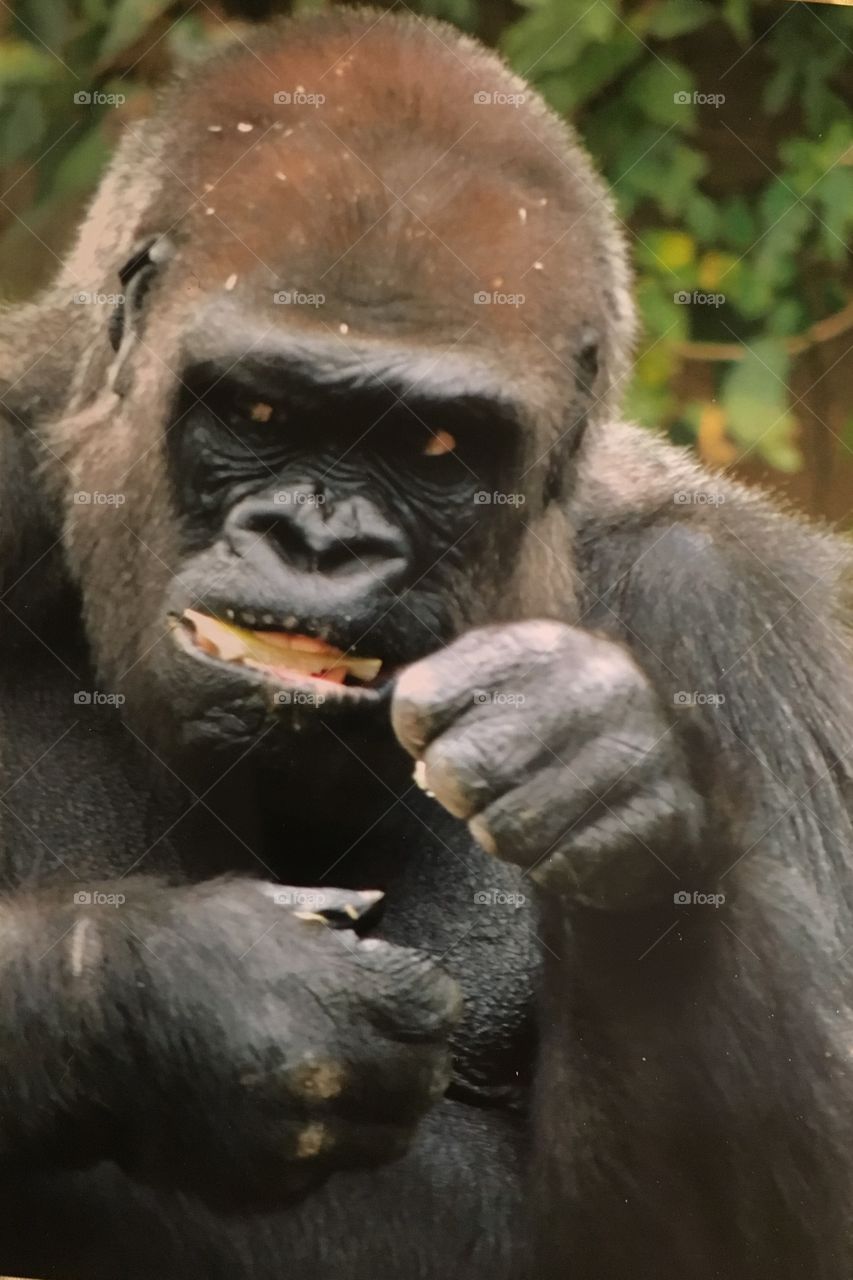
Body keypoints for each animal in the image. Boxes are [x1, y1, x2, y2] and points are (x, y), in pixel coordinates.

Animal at [1, 10, 850, 1280]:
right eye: (257, 411)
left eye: (437, 446)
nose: (320, 541)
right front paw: (172, 993)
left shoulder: (744, 614)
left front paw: (622, 791)